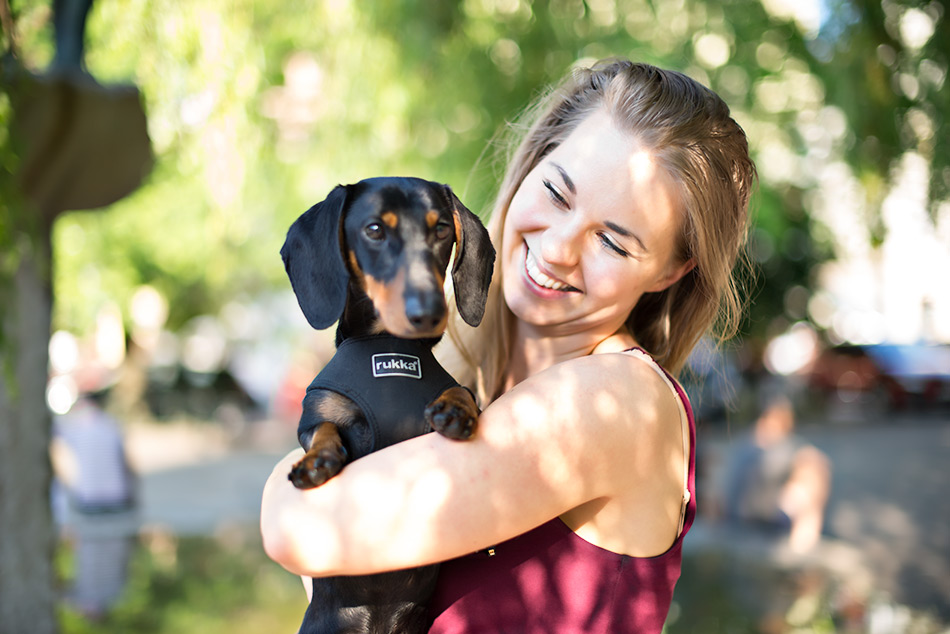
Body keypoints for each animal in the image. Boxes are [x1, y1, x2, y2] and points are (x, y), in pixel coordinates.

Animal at [280, 176, 495, 634]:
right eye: (375, 229)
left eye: (442, 230)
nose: (429, 312)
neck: (388, 348)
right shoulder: (314, 416)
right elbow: (324, 429)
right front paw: (316, 463)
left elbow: (461, 391)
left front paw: (454, 411)